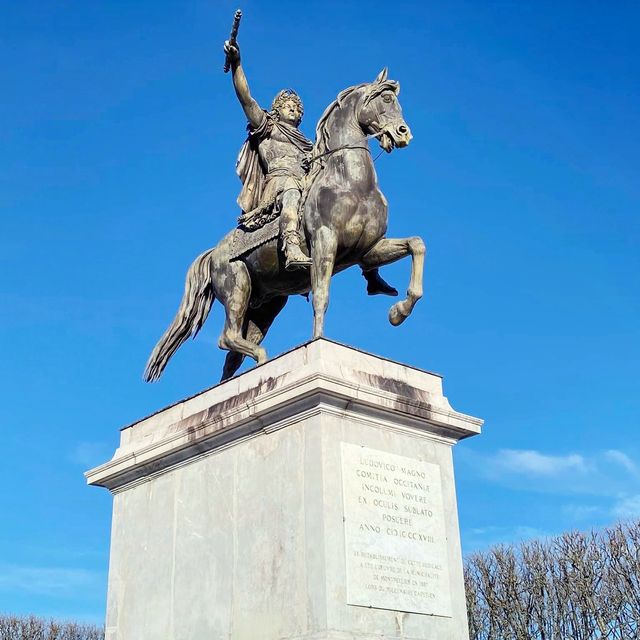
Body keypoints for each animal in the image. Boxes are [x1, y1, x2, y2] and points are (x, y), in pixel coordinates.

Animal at [145, 69, 424, 384]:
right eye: (386, 99)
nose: (403, 133)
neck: (350, 182)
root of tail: (214, 251)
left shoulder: (368, 250)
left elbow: (416, 244)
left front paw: (399, 311)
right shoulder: (325, 244)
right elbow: (322, 295)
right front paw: (318, 340)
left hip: (266, 306)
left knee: (233, 355)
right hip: (237, 287)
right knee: (227, 337)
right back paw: (262, 359)